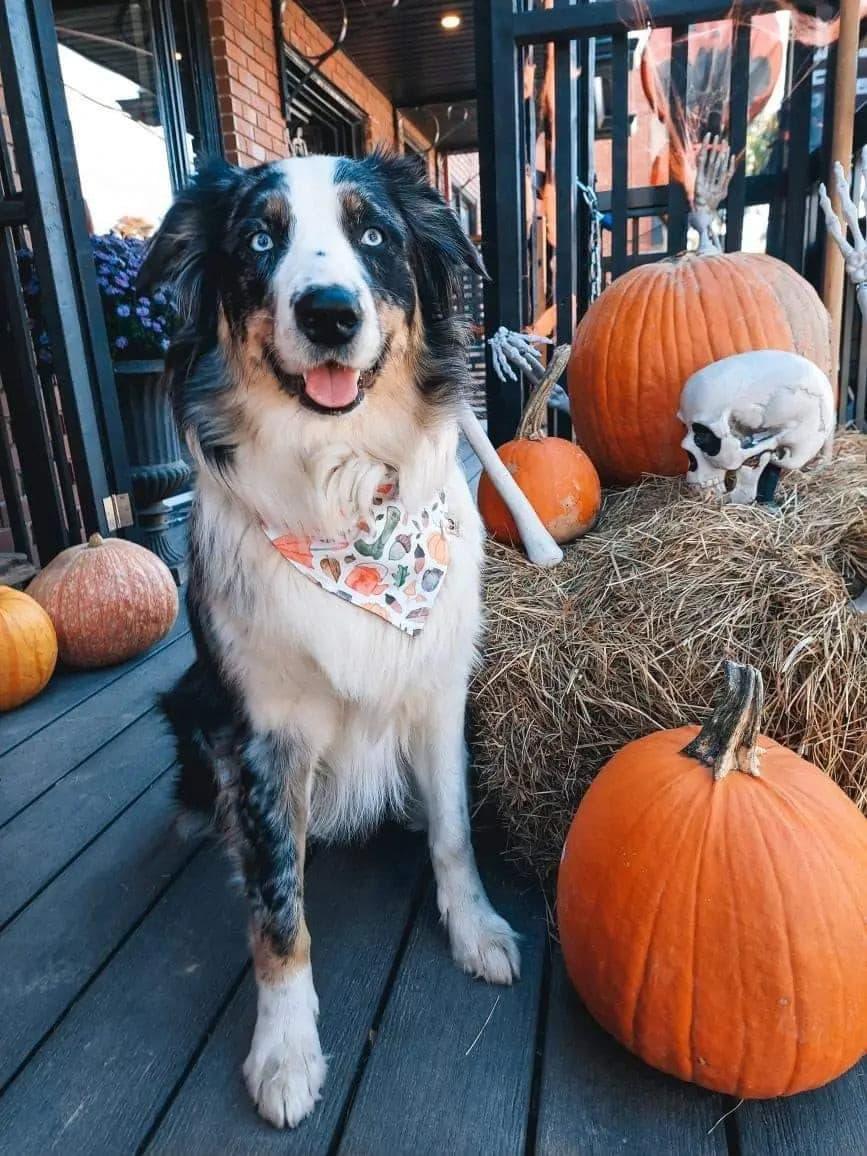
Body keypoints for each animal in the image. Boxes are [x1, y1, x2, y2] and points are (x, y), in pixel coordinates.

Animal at [141, 153, 522, 1128]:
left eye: (374, 234)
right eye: (258, 240)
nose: (328, 312)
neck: (339, 494)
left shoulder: (438, 692)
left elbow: (454, 832)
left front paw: (475, 929)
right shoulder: (261, 734)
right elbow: (279, 909)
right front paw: (284, 1053)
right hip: (192, 704)